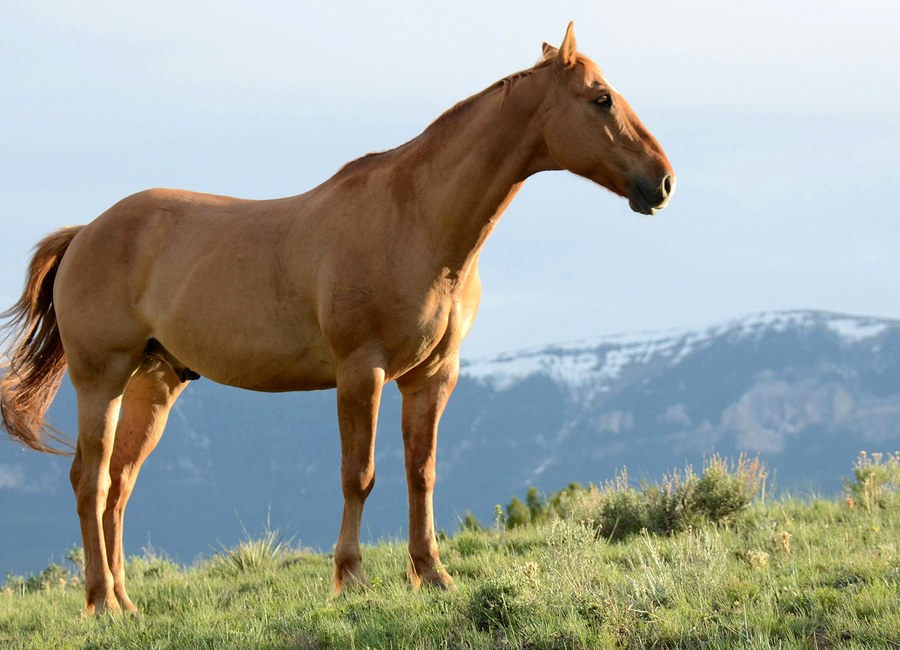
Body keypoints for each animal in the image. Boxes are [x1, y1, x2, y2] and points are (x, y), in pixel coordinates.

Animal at [0, 23, 674, 613]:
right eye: (601, 98)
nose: (663, 181)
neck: (416, 220)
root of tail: (86, 232)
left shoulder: (433, 376)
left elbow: (422, 472)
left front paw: (433, 575)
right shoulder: (361, 372)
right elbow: (360, 475)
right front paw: (351, 580)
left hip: (155, 384)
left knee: (117, 487)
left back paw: (125, 602)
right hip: (102, 379)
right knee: (89, 481)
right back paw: (99, 603)